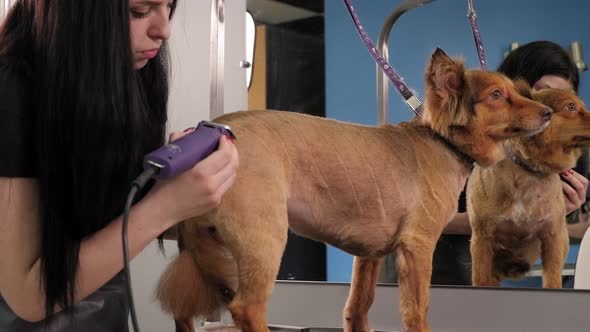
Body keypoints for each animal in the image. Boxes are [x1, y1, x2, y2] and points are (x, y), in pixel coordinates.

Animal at [155, 49, 552, 332]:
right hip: (264, 243)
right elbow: (417, 311)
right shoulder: (418, 247)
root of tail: (208, 134)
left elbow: (358, 308)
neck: (442, 141)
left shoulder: (369, 255)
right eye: (497, 95)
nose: (548, 111)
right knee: (246, 309)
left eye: (517, 92)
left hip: (201, 256)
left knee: (183, 314)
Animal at [470, 87, 588, 288]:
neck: (528, 171)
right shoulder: (482, 239)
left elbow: (552, 281)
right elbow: (480, 280)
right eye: (570, 106)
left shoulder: (553, 238)